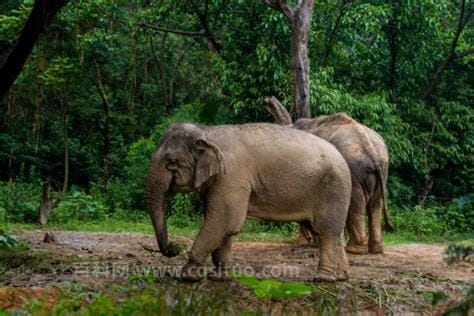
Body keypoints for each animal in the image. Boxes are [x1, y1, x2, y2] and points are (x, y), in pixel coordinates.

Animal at [147, 121, 352, 282]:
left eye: (172, 162)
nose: (174, 247)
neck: (207, 131)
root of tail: (342, 157)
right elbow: (223, 226)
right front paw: (220, 277)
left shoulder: (232, 177)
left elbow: (225, 221)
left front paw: (187, 276)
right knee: (329, 232)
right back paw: (340, 277)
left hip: (333, 190)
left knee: (326, 231)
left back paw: (323, 279)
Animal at [264, 96, 394, 254]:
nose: (267, 100)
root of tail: (371, 150)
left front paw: (314, 242)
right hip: (383, 169)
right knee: (376, 204)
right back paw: (375, 250)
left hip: (354, 170)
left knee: (356, 204)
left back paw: (353, 249)